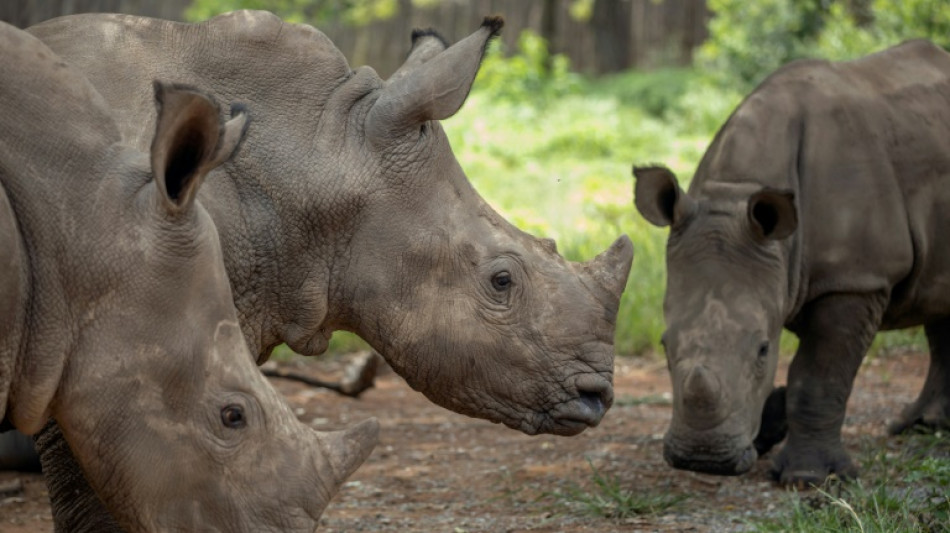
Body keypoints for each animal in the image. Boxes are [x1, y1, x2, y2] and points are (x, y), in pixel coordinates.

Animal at [632, 39, 950, 484]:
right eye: (663, 344)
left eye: (764, 350)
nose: (702, 459)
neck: (735, 192)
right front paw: (768, 428)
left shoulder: (856, 277)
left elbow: (817, 374)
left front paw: (808, 477)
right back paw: (922, 426)